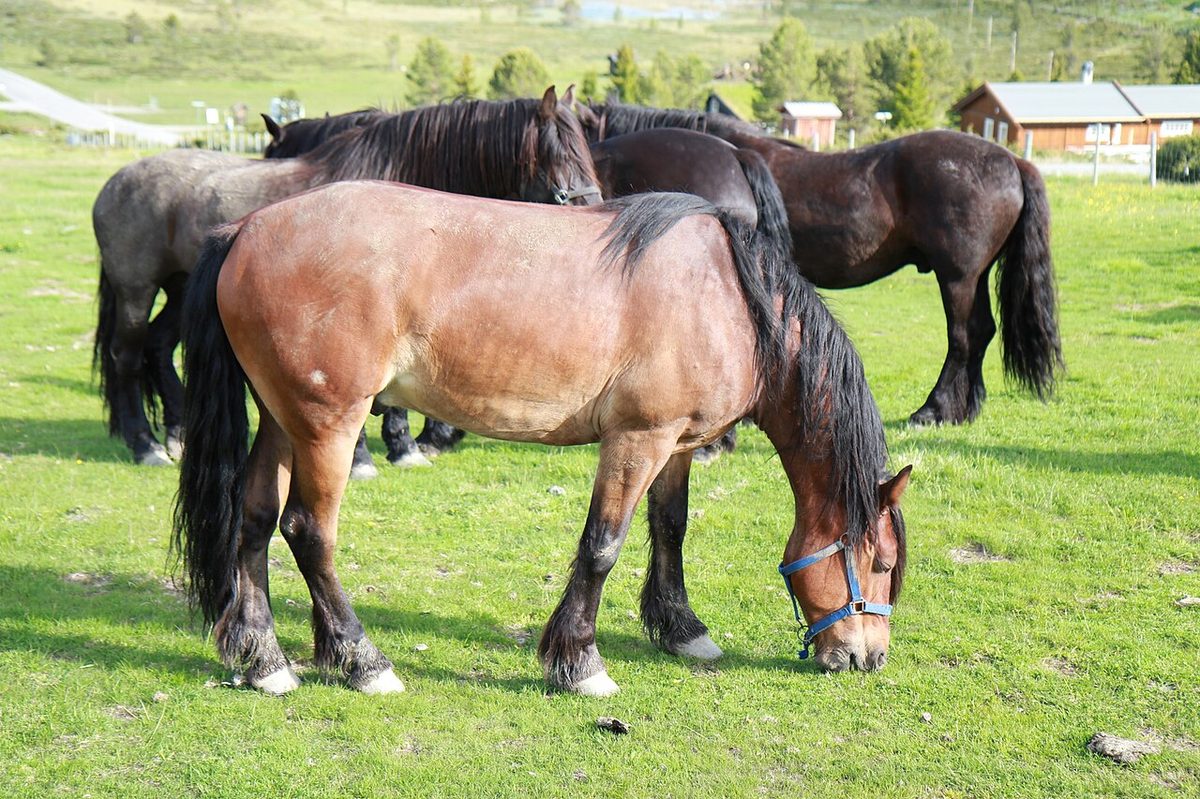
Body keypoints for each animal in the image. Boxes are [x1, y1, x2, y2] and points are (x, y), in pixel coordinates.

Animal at [92, 88, 601, 468]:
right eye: (557, 158)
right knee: (126, 354)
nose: (592, 209)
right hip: (136, 291)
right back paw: (144, 444)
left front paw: (401, 446)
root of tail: (115, 181)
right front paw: (372, 454)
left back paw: (175, 434)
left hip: (180, 292)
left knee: (158, 347)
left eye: (586, 152)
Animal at [173, 183, 912, 696]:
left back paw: (262, 657)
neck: (729, 298)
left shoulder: (675, 444)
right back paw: (361, 659)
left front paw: (682, 629)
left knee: (255, 518)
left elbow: (670, 526)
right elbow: (603, 544)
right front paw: (580, 661)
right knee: (307, 530)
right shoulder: (637, 440)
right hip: (328, 422)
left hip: (283, 418)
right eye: (879, 563)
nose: (868, 656)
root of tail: (246, 229)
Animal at [577, 102, 1064, 427]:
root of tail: (1011, 159)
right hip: (970, 277)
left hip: (958, 277)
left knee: (964, 335)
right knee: (980, 332)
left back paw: (935, 410)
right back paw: (966, 408)